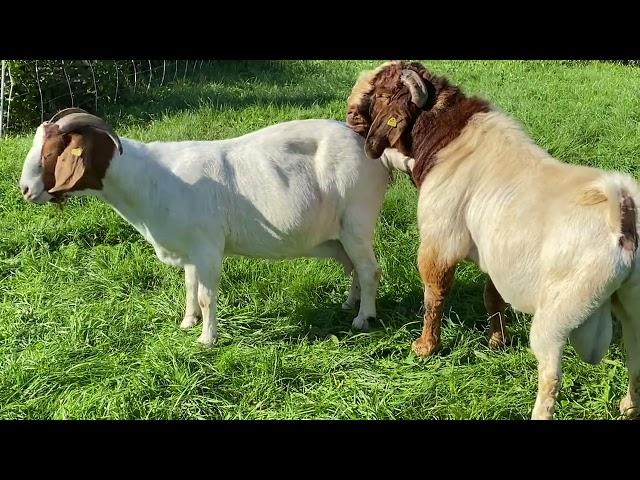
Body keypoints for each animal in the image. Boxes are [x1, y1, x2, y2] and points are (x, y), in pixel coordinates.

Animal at [18, 109, 396, 344]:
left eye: (53, 152)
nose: (25, 190)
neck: (151, 179)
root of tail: (373, 150)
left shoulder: (208, 247)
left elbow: (206, 295)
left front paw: (207, 339)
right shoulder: (190, 250)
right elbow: (189, 287)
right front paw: (188, 323)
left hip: (357, 221)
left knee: (369, 269)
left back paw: (363, 318)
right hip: (337, 236)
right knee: (354, 268)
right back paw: (350, 304)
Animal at [348, 61, 640, 420]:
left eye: (380, 94)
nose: (350, 115)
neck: (448, 138)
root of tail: (622, 215)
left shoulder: (439, 240)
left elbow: (434, 296)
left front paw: (425, 348)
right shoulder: (495, 254)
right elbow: (493, 298)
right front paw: (497, 341)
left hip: (558, 314)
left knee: (551, 376)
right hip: (632, 305)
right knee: (636, 360)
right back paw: (628, 406)